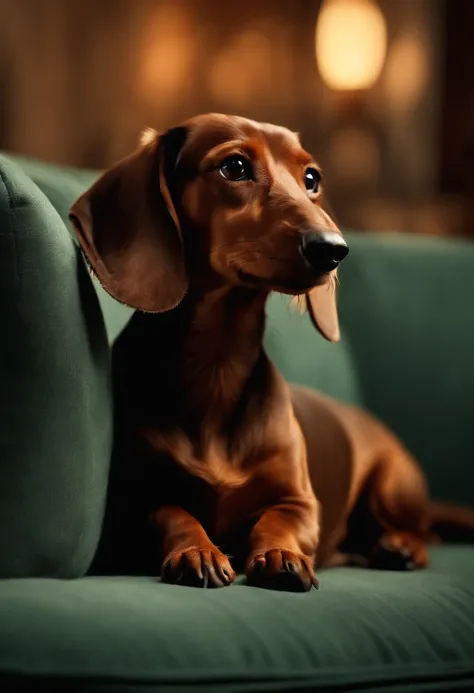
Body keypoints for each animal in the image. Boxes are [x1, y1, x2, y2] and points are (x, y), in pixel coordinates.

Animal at [70, 112, 474, 588]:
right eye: (235, 167)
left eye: (311, 178)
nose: (333, 249)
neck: (219, 364)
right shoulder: (135, 502)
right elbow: (173, 514)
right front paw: (198, 551)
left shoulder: (299, 502)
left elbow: (279, 521)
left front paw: (282, 554)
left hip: (394, 485)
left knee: (423, 534)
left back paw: (399, 547)